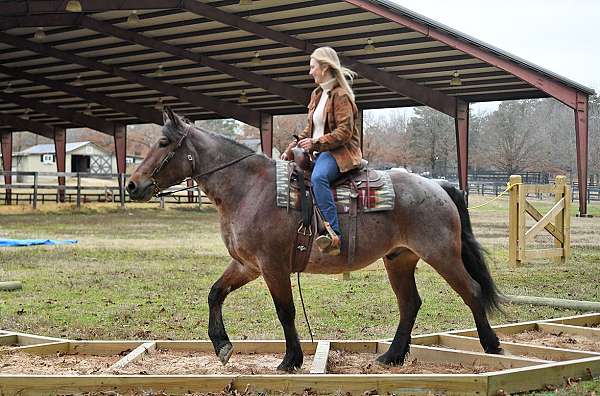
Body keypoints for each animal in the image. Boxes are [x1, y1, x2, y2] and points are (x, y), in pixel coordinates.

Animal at [129, 108, 504, 372]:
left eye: (163, 143)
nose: (133, 185)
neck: (250, 188)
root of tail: (437, 185)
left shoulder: (273, 266)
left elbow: (285, 311)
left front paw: (291, 359)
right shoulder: (247, 265)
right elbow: (215, 293)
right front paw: (222, 346)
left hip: (442, 255)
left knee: (471, 292)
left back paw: (493, 348)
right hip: (400, 259)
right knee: (410, 303)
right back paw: (392, 356)